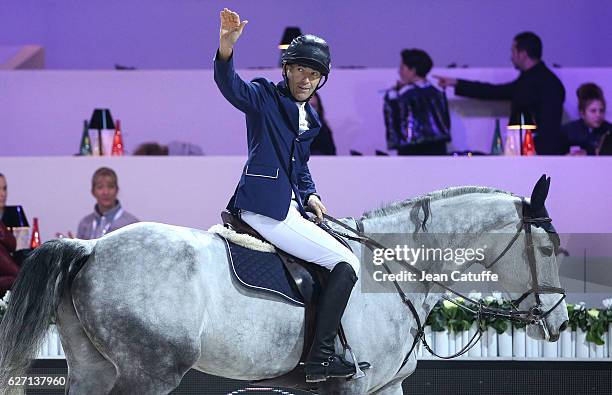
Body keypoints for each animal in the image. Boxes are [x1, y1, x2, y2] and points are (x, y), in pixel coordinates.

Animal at [0, 184, 568, 394]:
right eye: (546, 249)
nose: (559, 323)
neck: (394, 270)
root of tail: (91, 248)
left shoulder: (385, 388)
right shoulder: (354, 387)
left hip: (94, 369)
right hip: (149, 373)